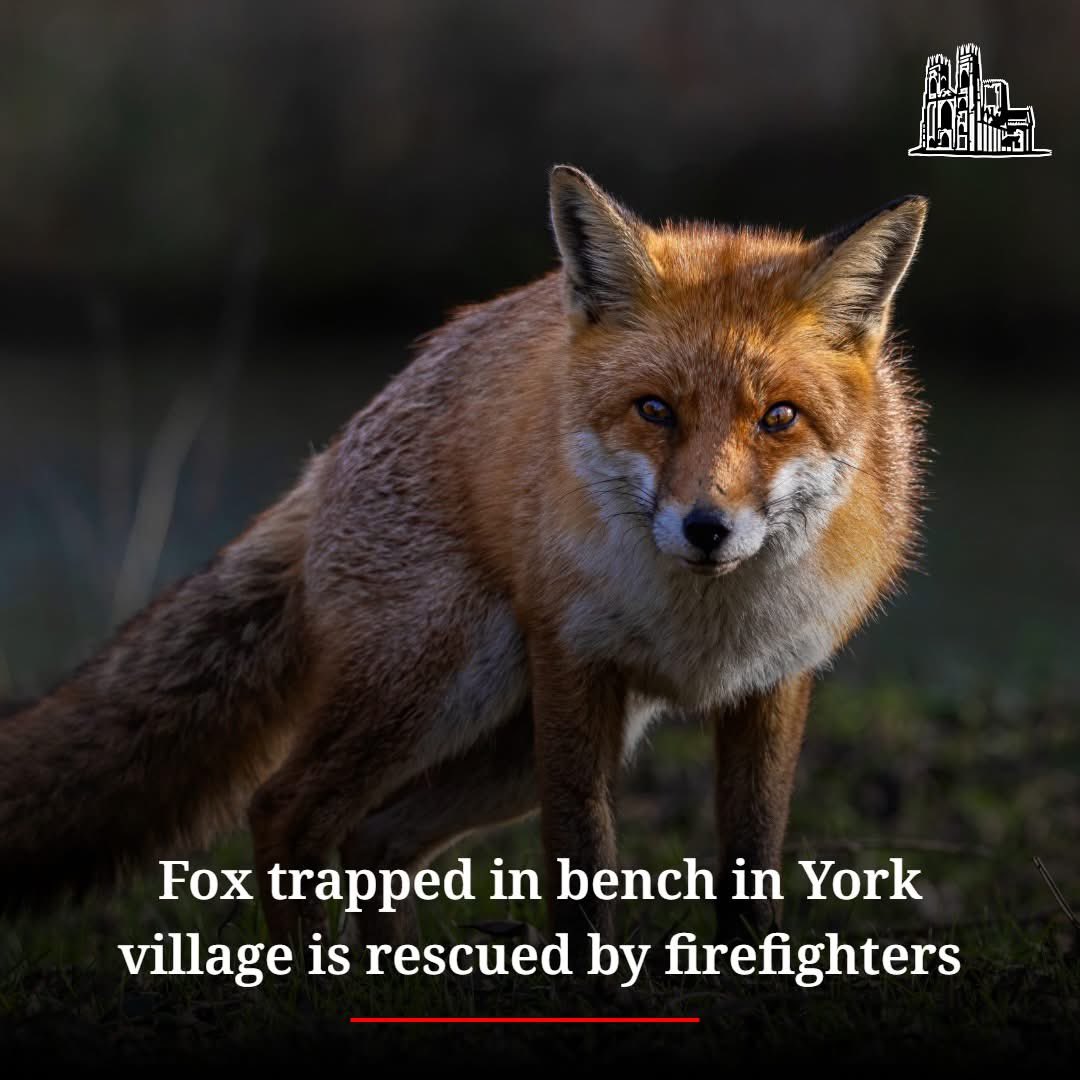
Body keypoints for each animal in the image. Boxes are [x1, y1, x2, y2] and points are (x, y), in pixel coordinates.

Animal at [0, 166, 926, 952]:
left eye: (779, 418)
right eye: (655, 410)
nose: (707, 528)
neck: (704, 628)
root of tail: (329, 457)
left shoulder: (774, 680)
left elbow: (750, 864)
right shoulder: (573, 662)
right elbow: (581, 862)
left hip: (505, 746)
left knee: (375, 834)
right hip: (442, 680)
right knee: (286, 809)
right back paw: (309, 991)